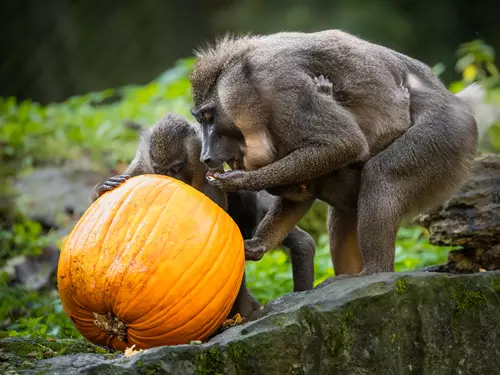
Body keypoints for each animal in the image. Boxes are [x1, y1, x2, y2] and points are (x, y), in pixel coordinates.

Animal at [189, 30, 482, 276]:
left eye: (209, 117)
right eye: (201, 119)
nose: (206, 156)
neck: (244, 81)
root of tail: (456, 101)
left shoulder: (281, 87)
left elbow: (344, 143)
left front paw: (242, 181)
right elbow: (299, 198)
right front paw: (258, 244)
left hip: (445, 135)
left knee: (383, 176)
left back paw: (375, 272)